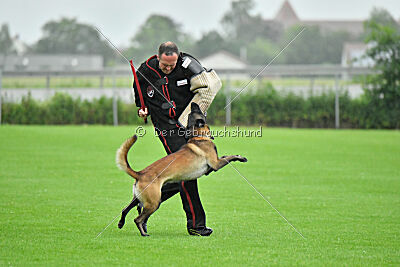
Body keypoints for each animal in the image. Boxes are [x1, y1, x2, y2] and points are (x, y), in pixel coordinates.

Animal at [115, 102, 247, 237]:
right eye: (196, 111)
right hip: (154, 202)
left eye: (192, 112)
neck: (198, 137)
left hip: (140, 197)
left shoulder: (210, 168)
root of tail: (140, 174)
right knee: (137, 219)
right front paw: (240, 157)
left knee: (126, 209)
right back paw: (143, 233)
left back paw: (121, 223)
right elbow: (228, 157)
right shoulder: (215, 164)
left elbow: (225, 156)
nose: (194, 103)